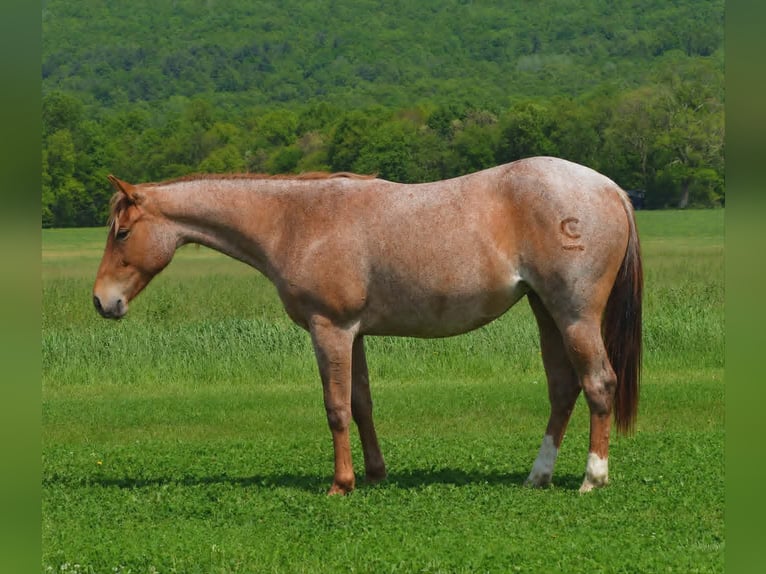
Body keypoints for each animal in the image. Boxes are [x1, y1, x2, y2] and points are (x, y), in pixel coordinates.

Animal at [93, 156, 642, 495]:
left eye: (122, 233)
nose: (102, 301)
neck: (295, 220)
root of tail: (610, 188)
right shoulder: (352, 335)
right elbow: (361, 404)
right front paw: (375, 473)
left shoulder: (330, 329)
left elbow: (335, 408)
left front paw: (342, 483)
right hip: (546, 311)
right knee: (563, 389)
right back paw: (538, 475)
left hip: (574, 314)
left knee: (598, 383)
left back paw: (592, 477)